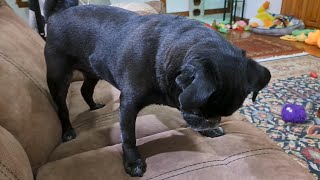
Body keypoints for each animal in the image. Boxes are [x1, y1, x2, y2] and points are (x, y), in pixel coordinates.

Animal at [44, 0, 270, 177]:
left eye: (224, 114)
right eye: (198, 111)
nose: (212, 121)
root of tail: (57, 14)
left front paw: (210, 130)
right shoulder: (128, 106)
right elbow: (128, 136)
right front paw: (133, 162)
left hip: (92, 71)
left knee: (85, 90)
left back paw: (93, 106)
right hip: (58, 78)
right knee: (62, 107)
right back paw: (68, 131)